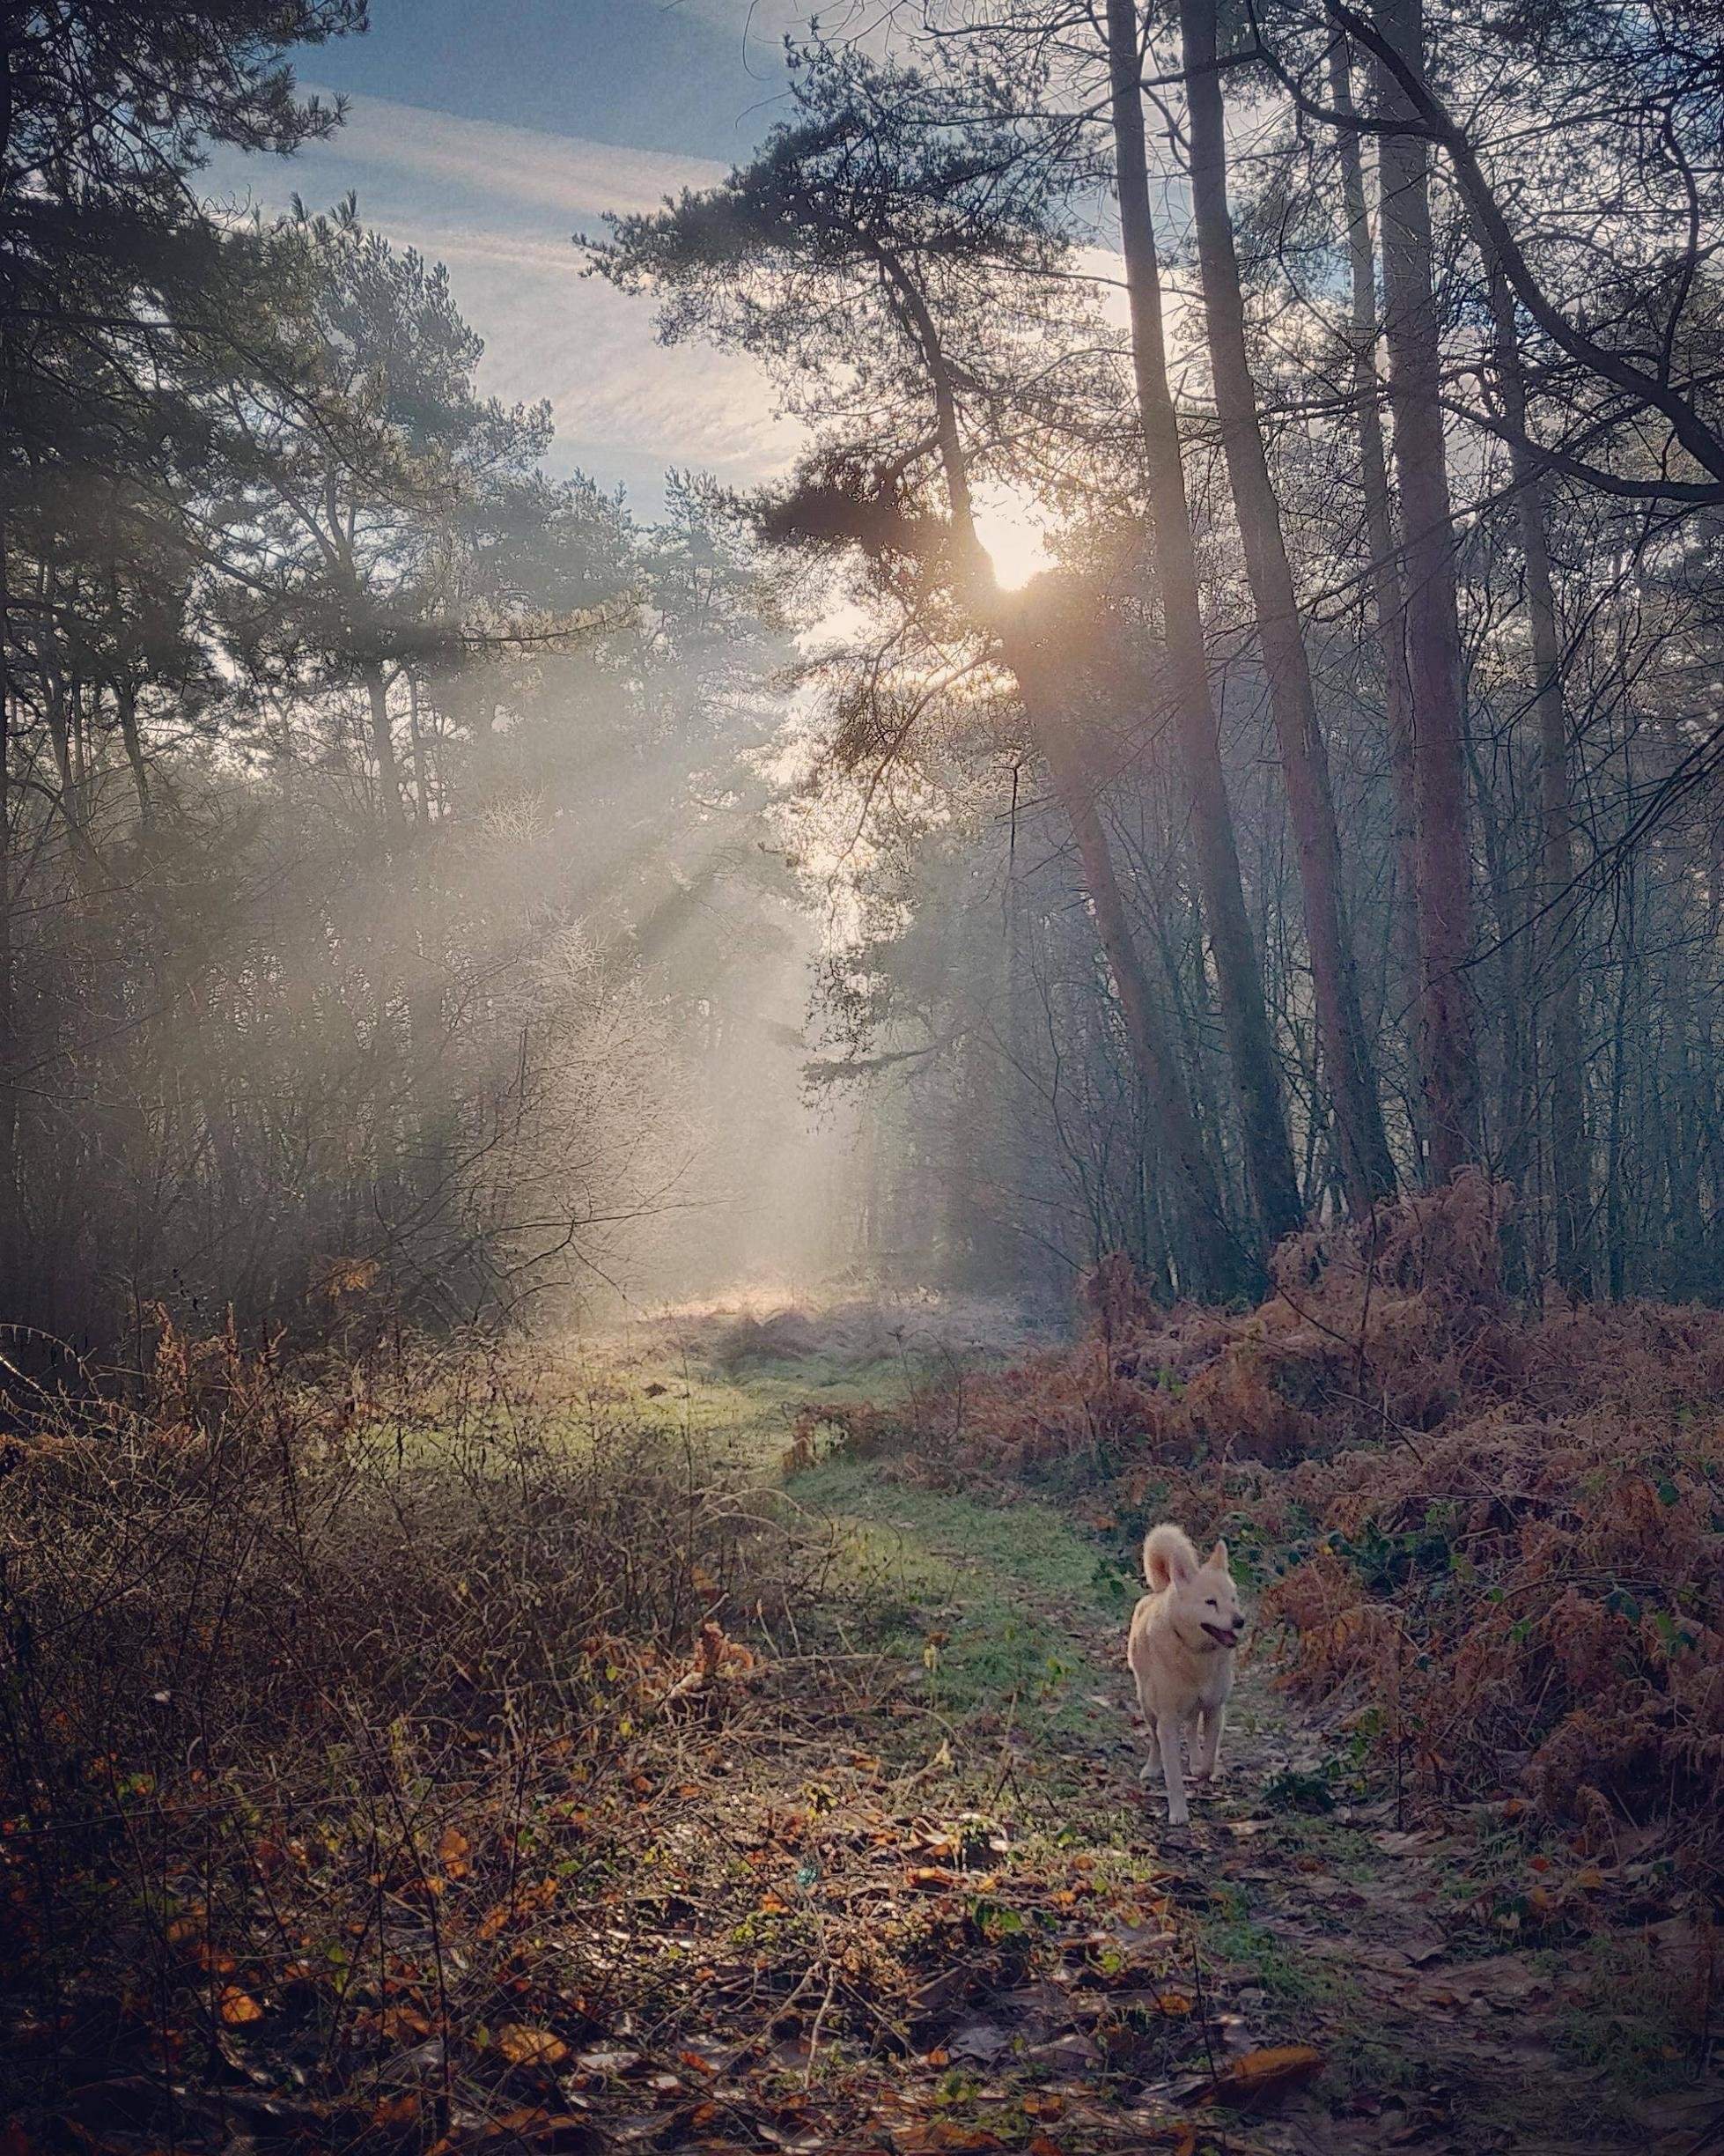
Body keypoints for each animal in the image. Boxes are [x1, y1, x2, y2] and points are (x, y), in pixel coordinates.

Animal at [1129, 1526, 1241, 1827]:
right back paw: (1152, 1767)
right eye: (1210, 1602)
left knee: (1191, 1729)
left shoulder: (1215, 1709)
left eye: (1233, 1599)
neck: (1196, 1654)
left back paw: (1193, 1759)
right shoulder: (1167, 1719)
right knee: (1155, 1739)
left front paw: (1200, 1769)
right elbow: (1173, 1775)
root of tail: (1161, 1589)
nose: (1240, 1621)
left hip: (1193, 1708)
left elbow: (1209, 1758)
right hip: (1148, 1705)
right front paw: (1178, 1812)